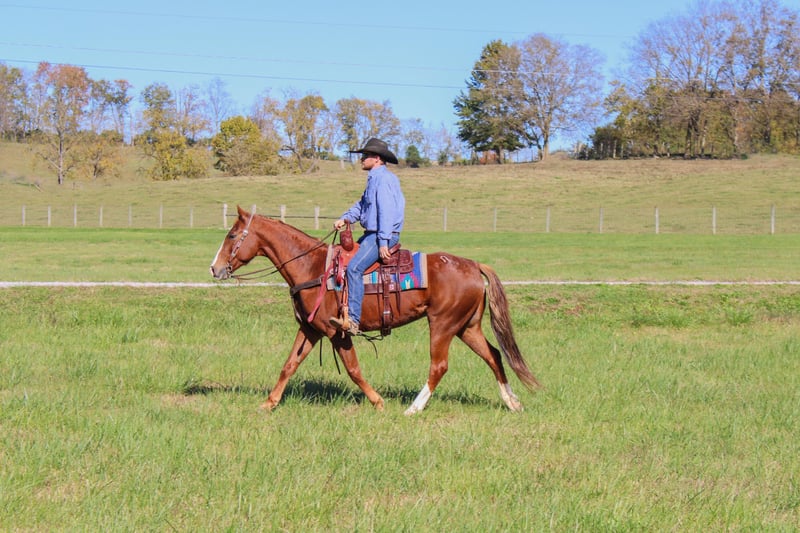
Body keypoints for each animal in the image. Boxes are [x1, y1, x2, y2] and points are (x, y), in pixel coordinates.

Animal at [209, 206, 540, 415]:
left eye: (231, 235)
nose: (214, 268)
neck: (313, 267)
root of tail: (472, 265)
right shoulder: (311, 329)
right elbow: (289, 365)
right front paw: (269, 403)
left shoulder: (337, 332)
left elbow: (353, 369)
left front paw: (378, 402)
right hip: (467, 327)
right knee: (494, 355)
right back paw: (513, 402)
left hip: (443, 325)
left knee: (439, 366)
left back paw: (414, 408)